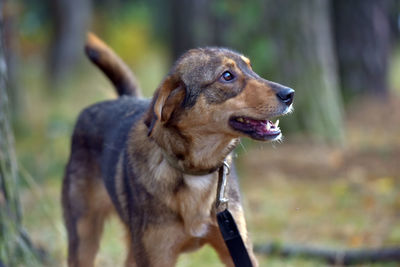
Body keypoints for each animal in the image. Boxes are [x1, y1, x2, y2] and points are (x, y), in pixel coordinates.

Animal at [62, 33, 294, 267]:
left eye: (251, 68)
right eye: (227, 76)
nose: (289, 94)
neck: (196, 173)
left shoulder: (237, 248)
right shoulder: (156, 257)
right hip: (84, 239)